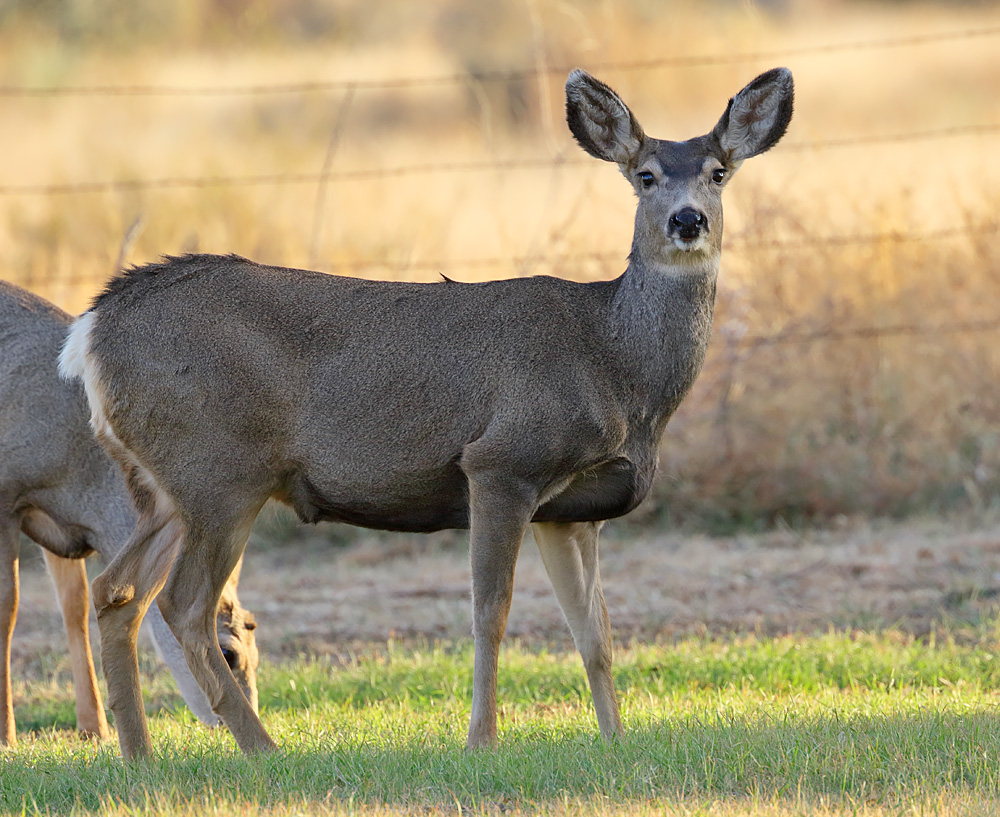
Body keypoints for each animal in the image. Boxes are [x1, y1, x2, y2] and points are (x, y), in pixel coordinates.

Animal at [0, 280, 262, 744]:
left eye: (255, 640)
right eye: (229, 654)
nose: (225, 721)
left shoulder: (62, 526)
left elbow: (74, 606)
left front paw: (94, 728)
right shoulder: (6, 492)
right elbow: (9, 607)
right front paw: (6, 734)